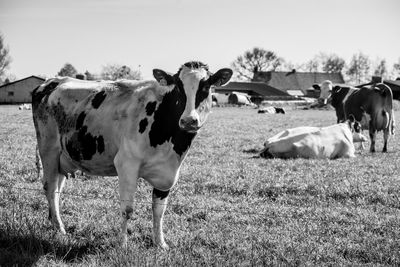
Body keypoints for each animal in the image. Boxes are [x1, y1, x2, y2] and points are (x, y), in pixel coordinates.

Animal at [31, 61, 233, 250]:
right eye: (177, 87)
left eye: (206, 87)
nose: (189, 120)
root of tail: (52, 81)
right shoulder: (127, 164)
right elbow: (127, 208)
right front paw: (122, 244)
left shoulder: (167, 173)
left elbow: (159, 210)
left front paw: (160, 243)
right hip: (48, 149)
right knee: (50, 188)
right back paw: (60, 228)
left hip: (63, 158)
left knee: (57, 190)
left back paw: (55, 224)